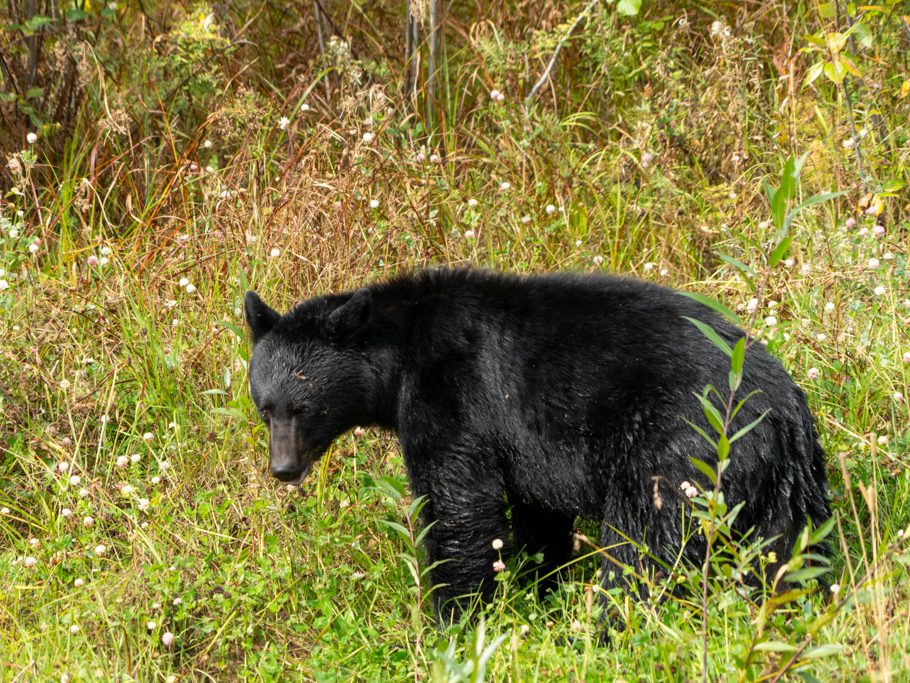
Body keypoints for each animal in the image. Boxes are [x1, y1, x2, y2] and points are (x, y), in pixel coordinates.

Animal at [246, 270, 832, 624]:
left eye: (304, 408)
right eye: (265, 407)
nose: (283, 468)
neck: (400, 353)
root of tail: (784, 410)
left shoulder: (453, 399)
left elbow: (459, 507)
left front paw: (454, 618)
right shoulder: (528, 450)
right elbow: (537, 514)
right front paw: (535, 590)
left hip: (677, 449)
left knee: (643, 548)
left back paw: (610, 625)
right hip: (785, 488)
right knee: (785, 554)